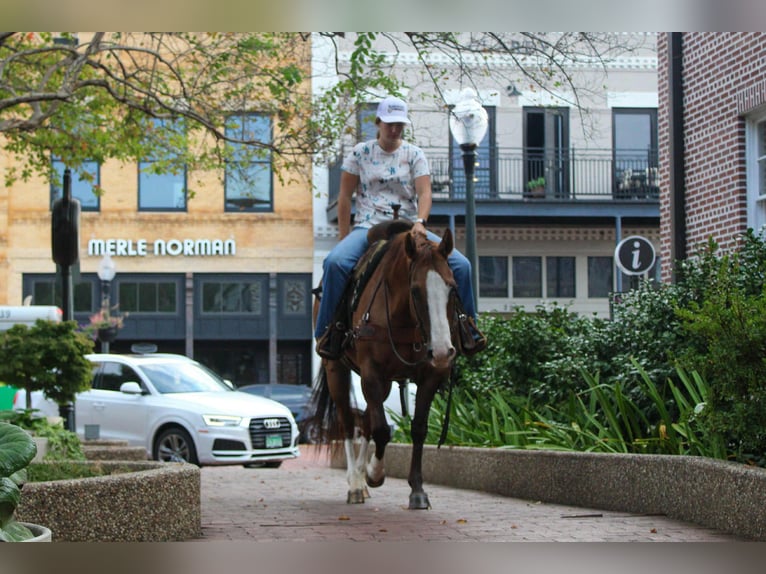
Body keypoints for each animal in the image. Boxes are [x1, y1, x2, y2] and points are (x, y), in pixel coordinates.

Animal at [309, 220, 459, 509]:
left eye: (452, 287)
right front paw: (374, 473)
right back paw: (356, 483)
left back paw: (361, 478)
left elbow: (418, 429)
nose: (442, 351)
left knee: (366, 420)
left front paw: (417, 490)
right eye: (415, 290)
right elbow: (380, 430)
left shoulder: (430, 375)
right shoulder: (371, 373)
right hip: (337, 370)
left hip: (386, 382)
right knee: (348, 422)